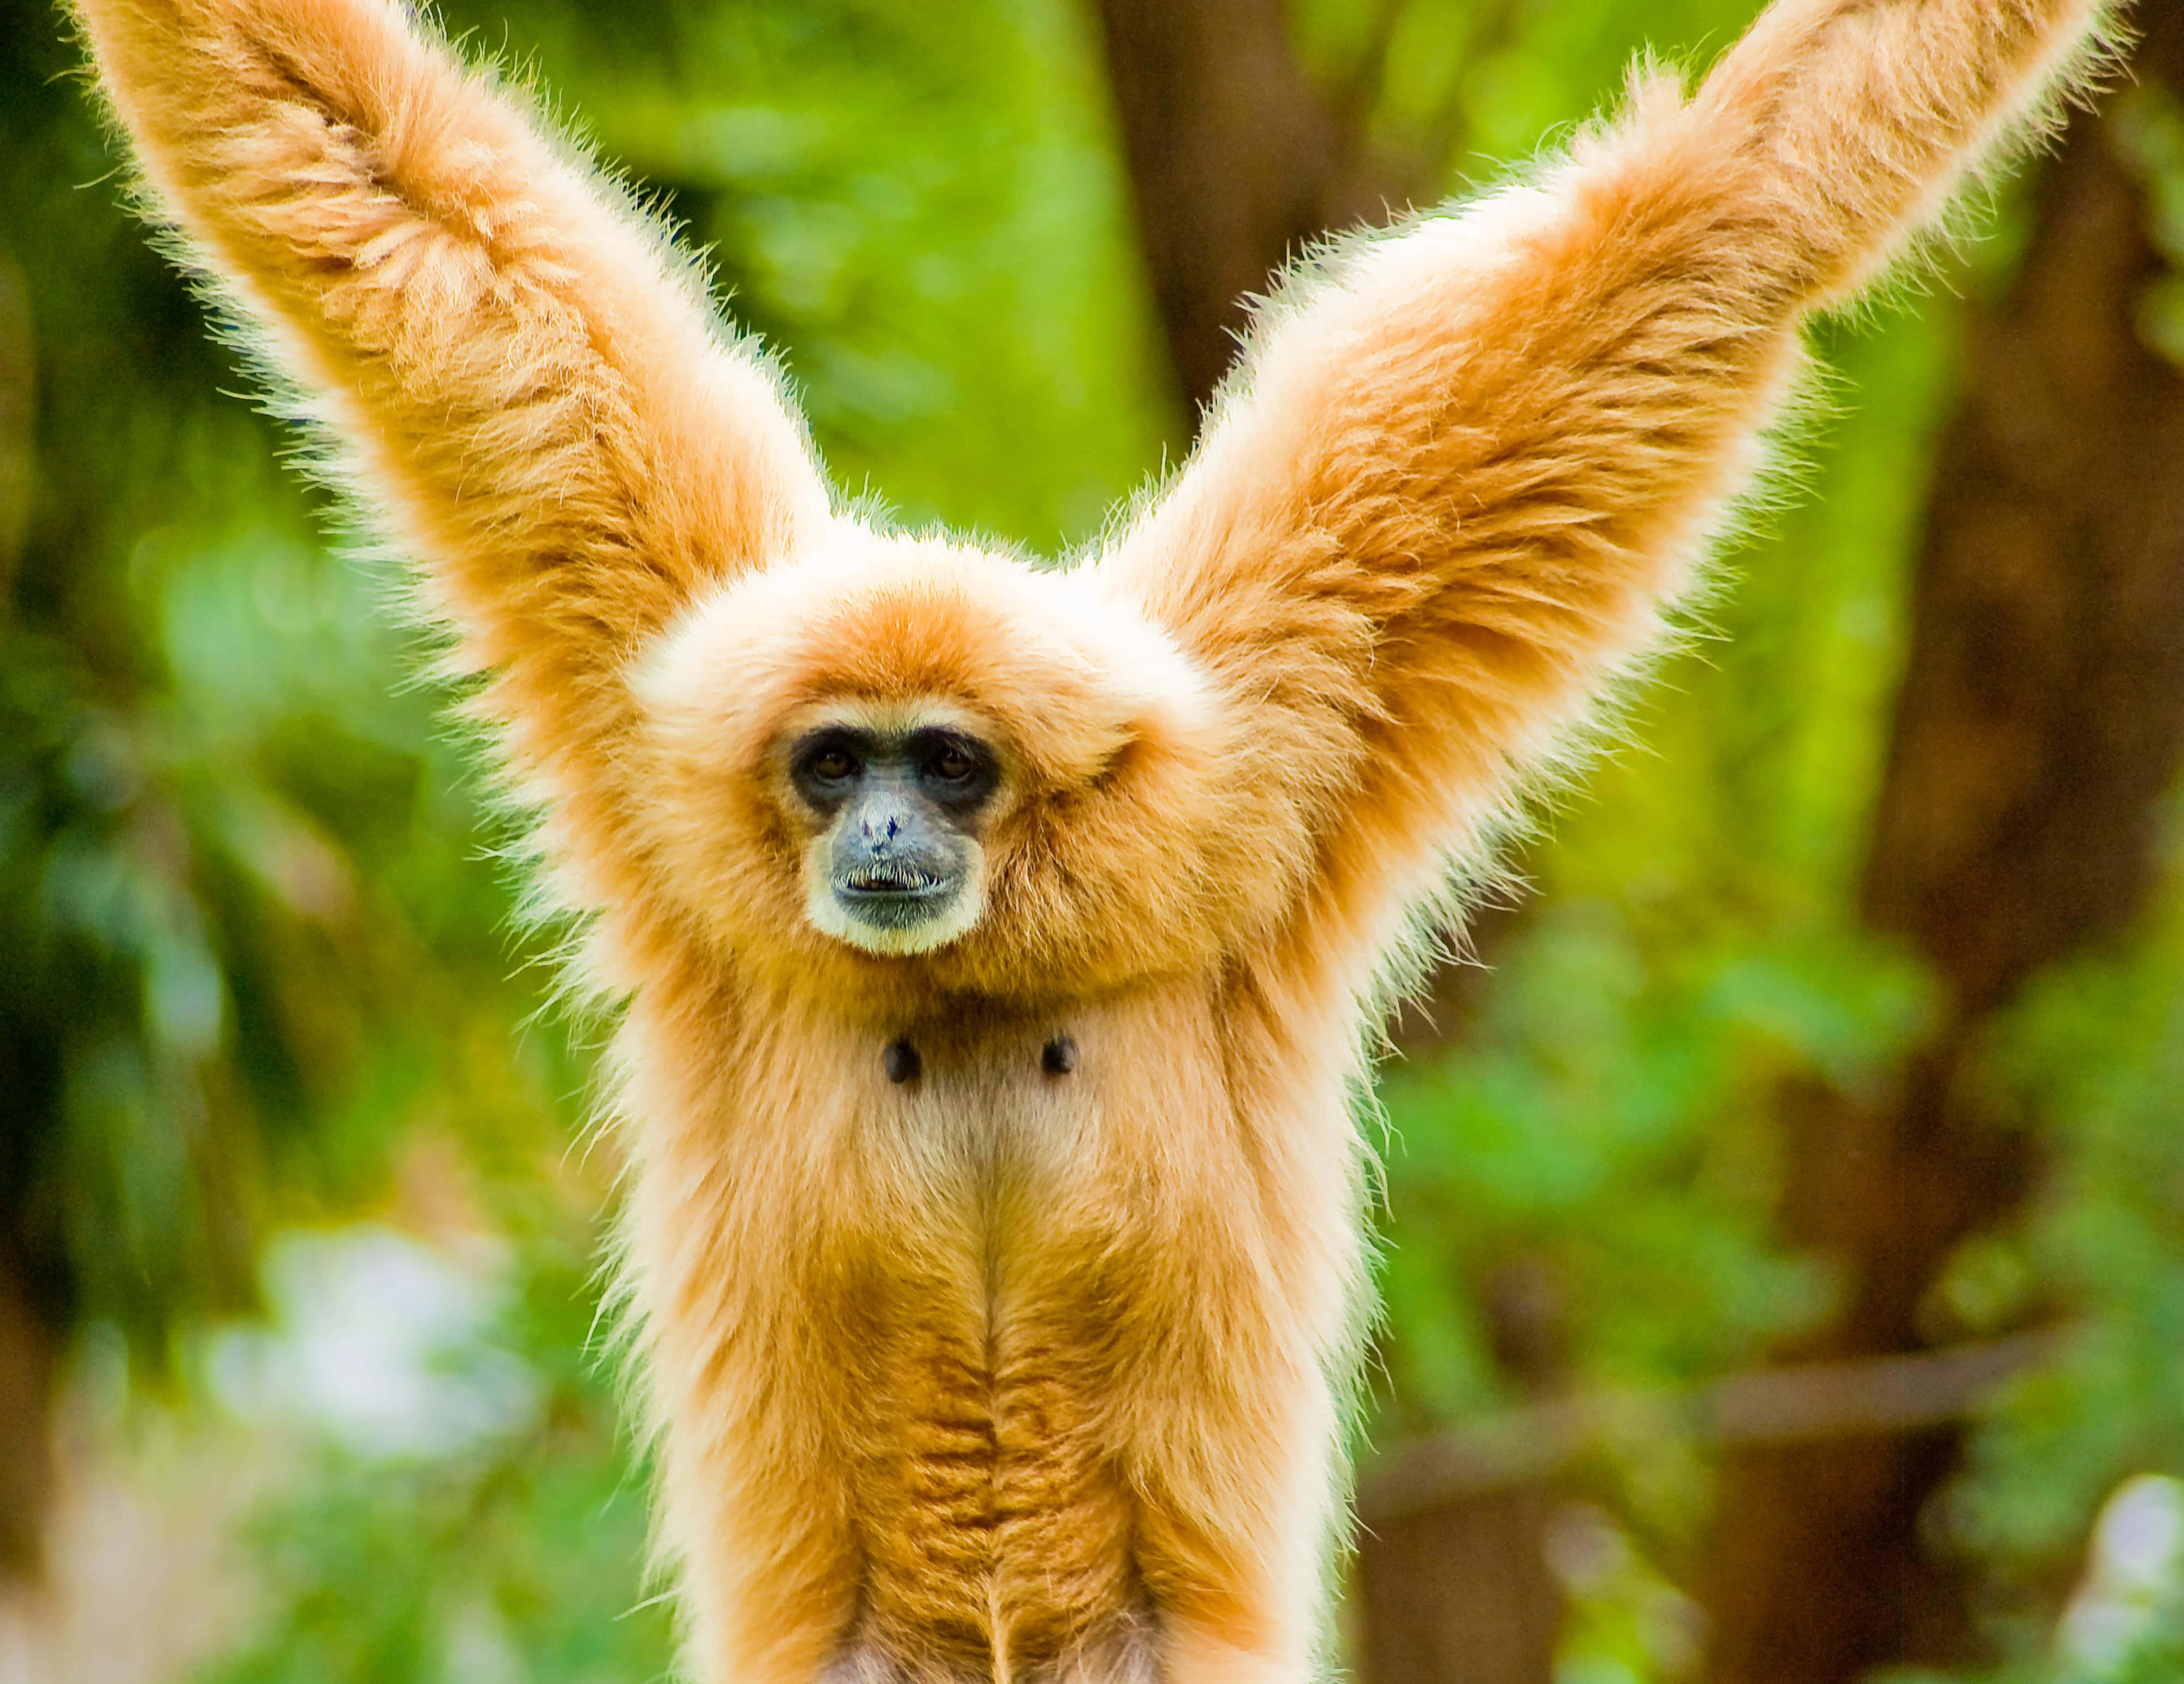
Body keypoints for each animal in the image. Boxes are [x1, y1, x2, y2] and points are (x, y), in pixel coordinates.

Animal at [72, 0, 2113, 1677]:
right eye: (835, 763)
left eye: (952, 766)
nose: (888, 825)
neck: (988, 951)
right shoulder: (663, 721)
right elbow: (374, 198)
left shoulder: (1262, 749)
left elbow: (1716, 231)